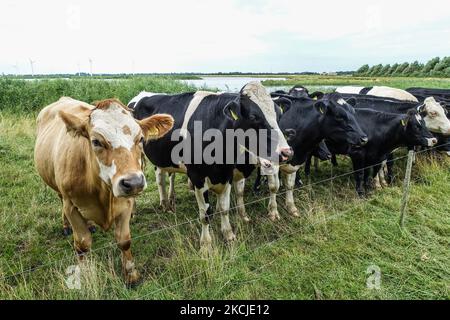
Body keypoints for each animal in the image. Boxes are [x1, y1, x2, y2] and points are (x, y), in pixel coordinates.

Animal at [33, 96, 173, 284]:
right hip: (58, 189)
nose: (133, 182)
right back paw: (65, 226)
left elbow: (124, 241)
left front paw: (131, 275)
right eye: (96, 141)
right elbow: (83, 245)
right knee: (60, 200)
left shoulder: (126, 203)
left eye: (141, 139)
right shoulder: (71, 206)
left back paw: (91, 225)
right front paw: (83, 275)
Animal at [132, 81, 294, 251]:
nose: (286, 153)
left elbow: (225, 207)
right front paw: (206, 245)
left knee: (161, 176)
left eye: (279, 114)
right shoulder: (197, 177)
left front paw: (229, 234)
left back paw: (167, 204)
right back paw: (136, 211)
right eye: (253, 117)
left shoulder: (227, 173)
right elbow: (205, 214)